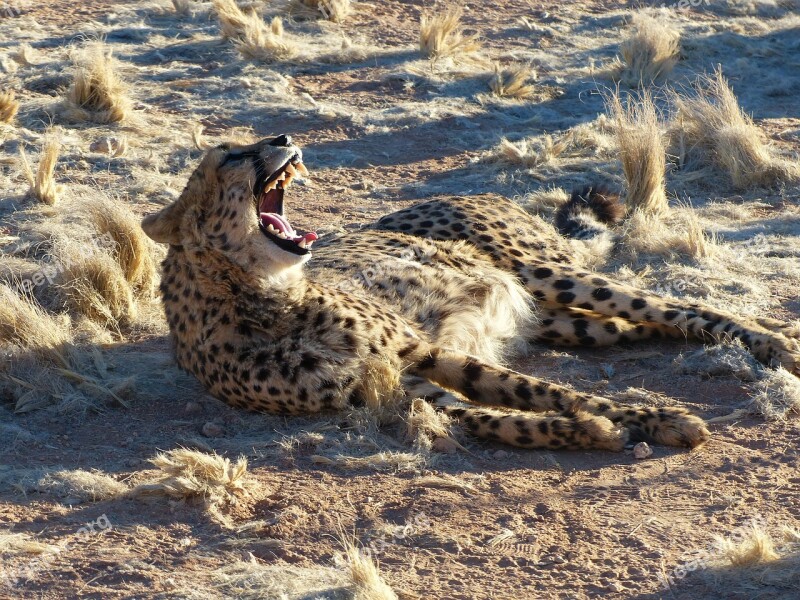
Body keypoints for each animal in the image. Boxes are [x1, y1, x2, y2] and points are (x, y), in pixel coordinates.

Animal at [141, 136, 800, 452]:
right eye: (231, 154)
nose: (281, 134)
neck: (260, 298)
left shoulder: (421, 353)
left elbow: (543, 391)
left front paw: (657, 419)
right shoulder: (397, 389)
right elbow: (498, 419)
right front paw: (591, 432)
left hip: (543, 272)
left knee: (684, 305)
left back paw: (776, 343)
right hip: (566, 320)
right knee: (633, 325)